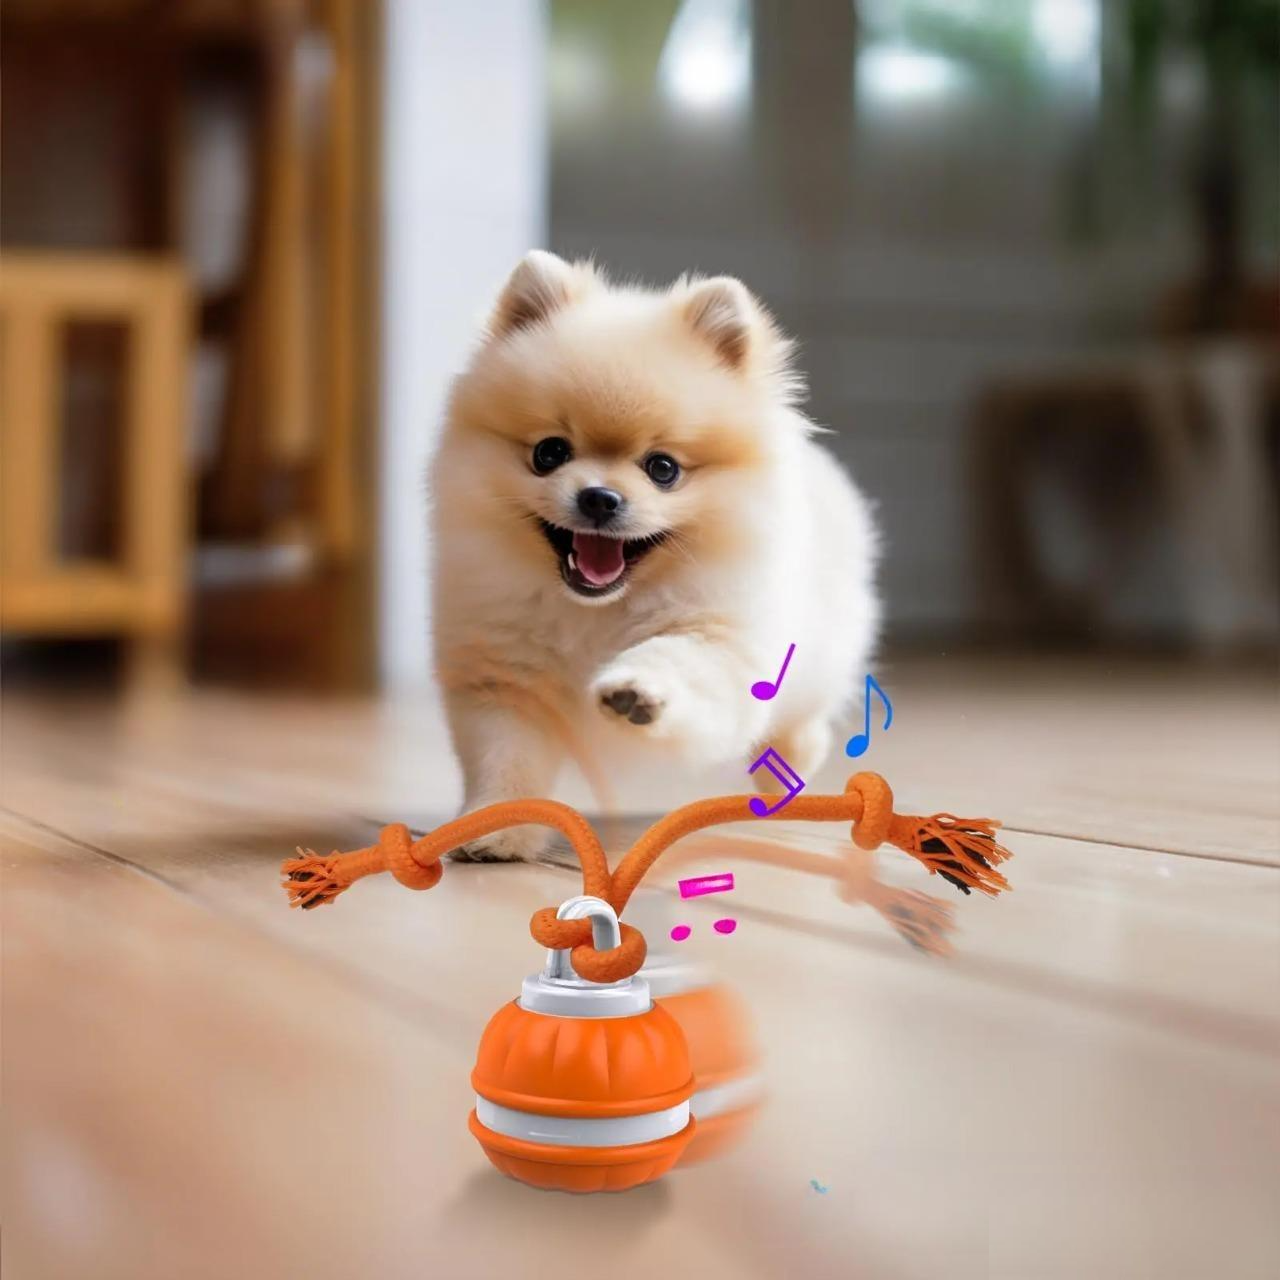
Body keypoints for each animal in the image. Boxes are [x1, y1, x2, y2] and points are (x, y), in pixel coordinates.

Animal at [430, 249, 880, 860]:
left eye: (662, 468)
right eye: (549, 453)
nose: (599, 497)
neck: (593, 614)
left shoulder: (721, 640)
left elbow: (678, 659)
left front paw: (635, 692)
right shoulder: (505, 683)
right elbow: (507, 761)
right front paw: (497, 827)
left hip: (819, 654)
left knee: (801, 720)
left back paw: (787, 770)